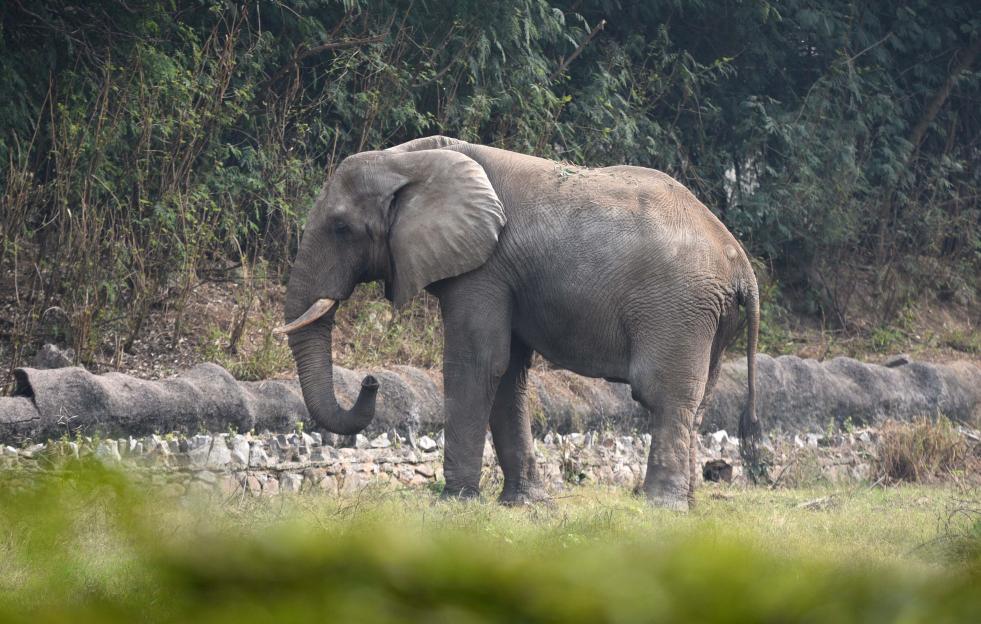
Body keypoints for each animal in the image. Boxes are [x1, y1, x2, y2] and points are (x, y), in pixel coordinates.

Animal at [276, 135, 761, 510]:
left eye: (341, 228)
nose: (371, 381)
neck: (410, 157)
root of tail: (741, 263)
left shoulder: (484, 269)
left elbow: (477, 363)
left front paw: (455, 502)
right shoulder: (504, 274)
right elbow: (508, 372)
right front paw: (524, 504)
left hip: (679, 308)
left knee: (664, 395)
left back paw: (660, 507)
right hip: (708, 317)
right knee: (698, 402)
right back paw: (685, 504)